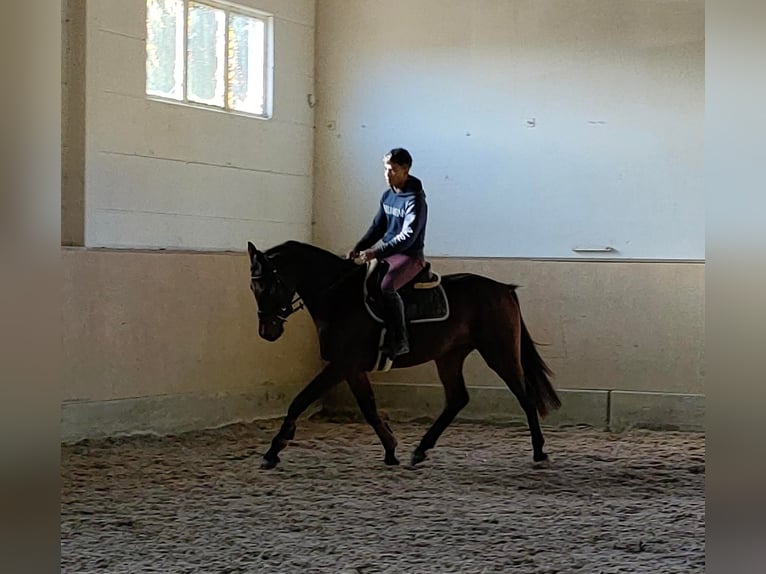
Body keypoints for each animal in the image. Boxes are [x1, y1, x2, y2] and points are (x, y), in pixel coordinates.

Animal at [249, 241, 560, 470]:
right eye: (254, 287)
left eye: (271, 285)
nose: (267, 331)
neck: (339, 296)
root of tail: (503, 289)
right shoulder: (352, 368)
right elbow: (369, 407)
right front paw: (391, 450)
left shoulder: (341, 364)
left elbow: (301, 400)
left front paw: (274, 450)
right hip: (449, 355)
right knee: (457, 398)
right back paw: (420, 450)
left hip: (499, 352)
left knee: (525, 395)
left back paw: (539, 452)